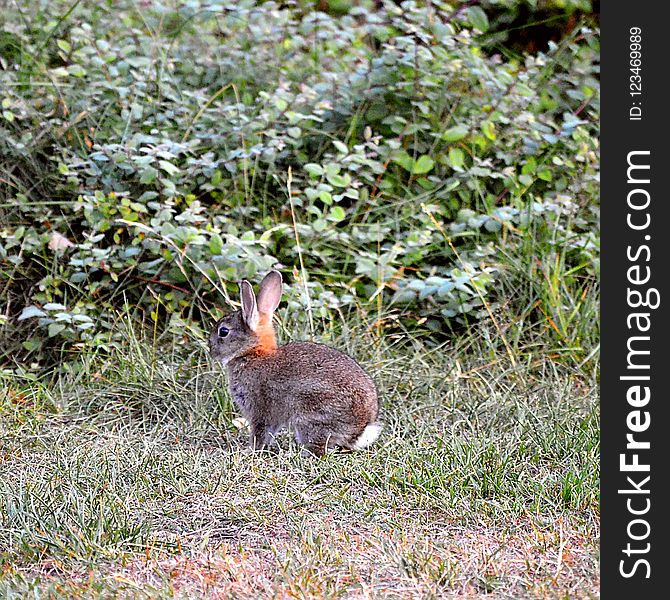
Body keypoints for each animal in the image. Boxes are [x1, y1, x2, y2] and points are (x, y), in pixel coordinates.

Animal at [209, 270, 384, 458]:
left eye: (223, 331)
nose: (210, 349)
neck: (252, 353)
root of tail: (358, 431)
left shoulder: (260, 411)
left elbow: (260, 433)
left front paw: (251, 451)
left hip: (310, 418)